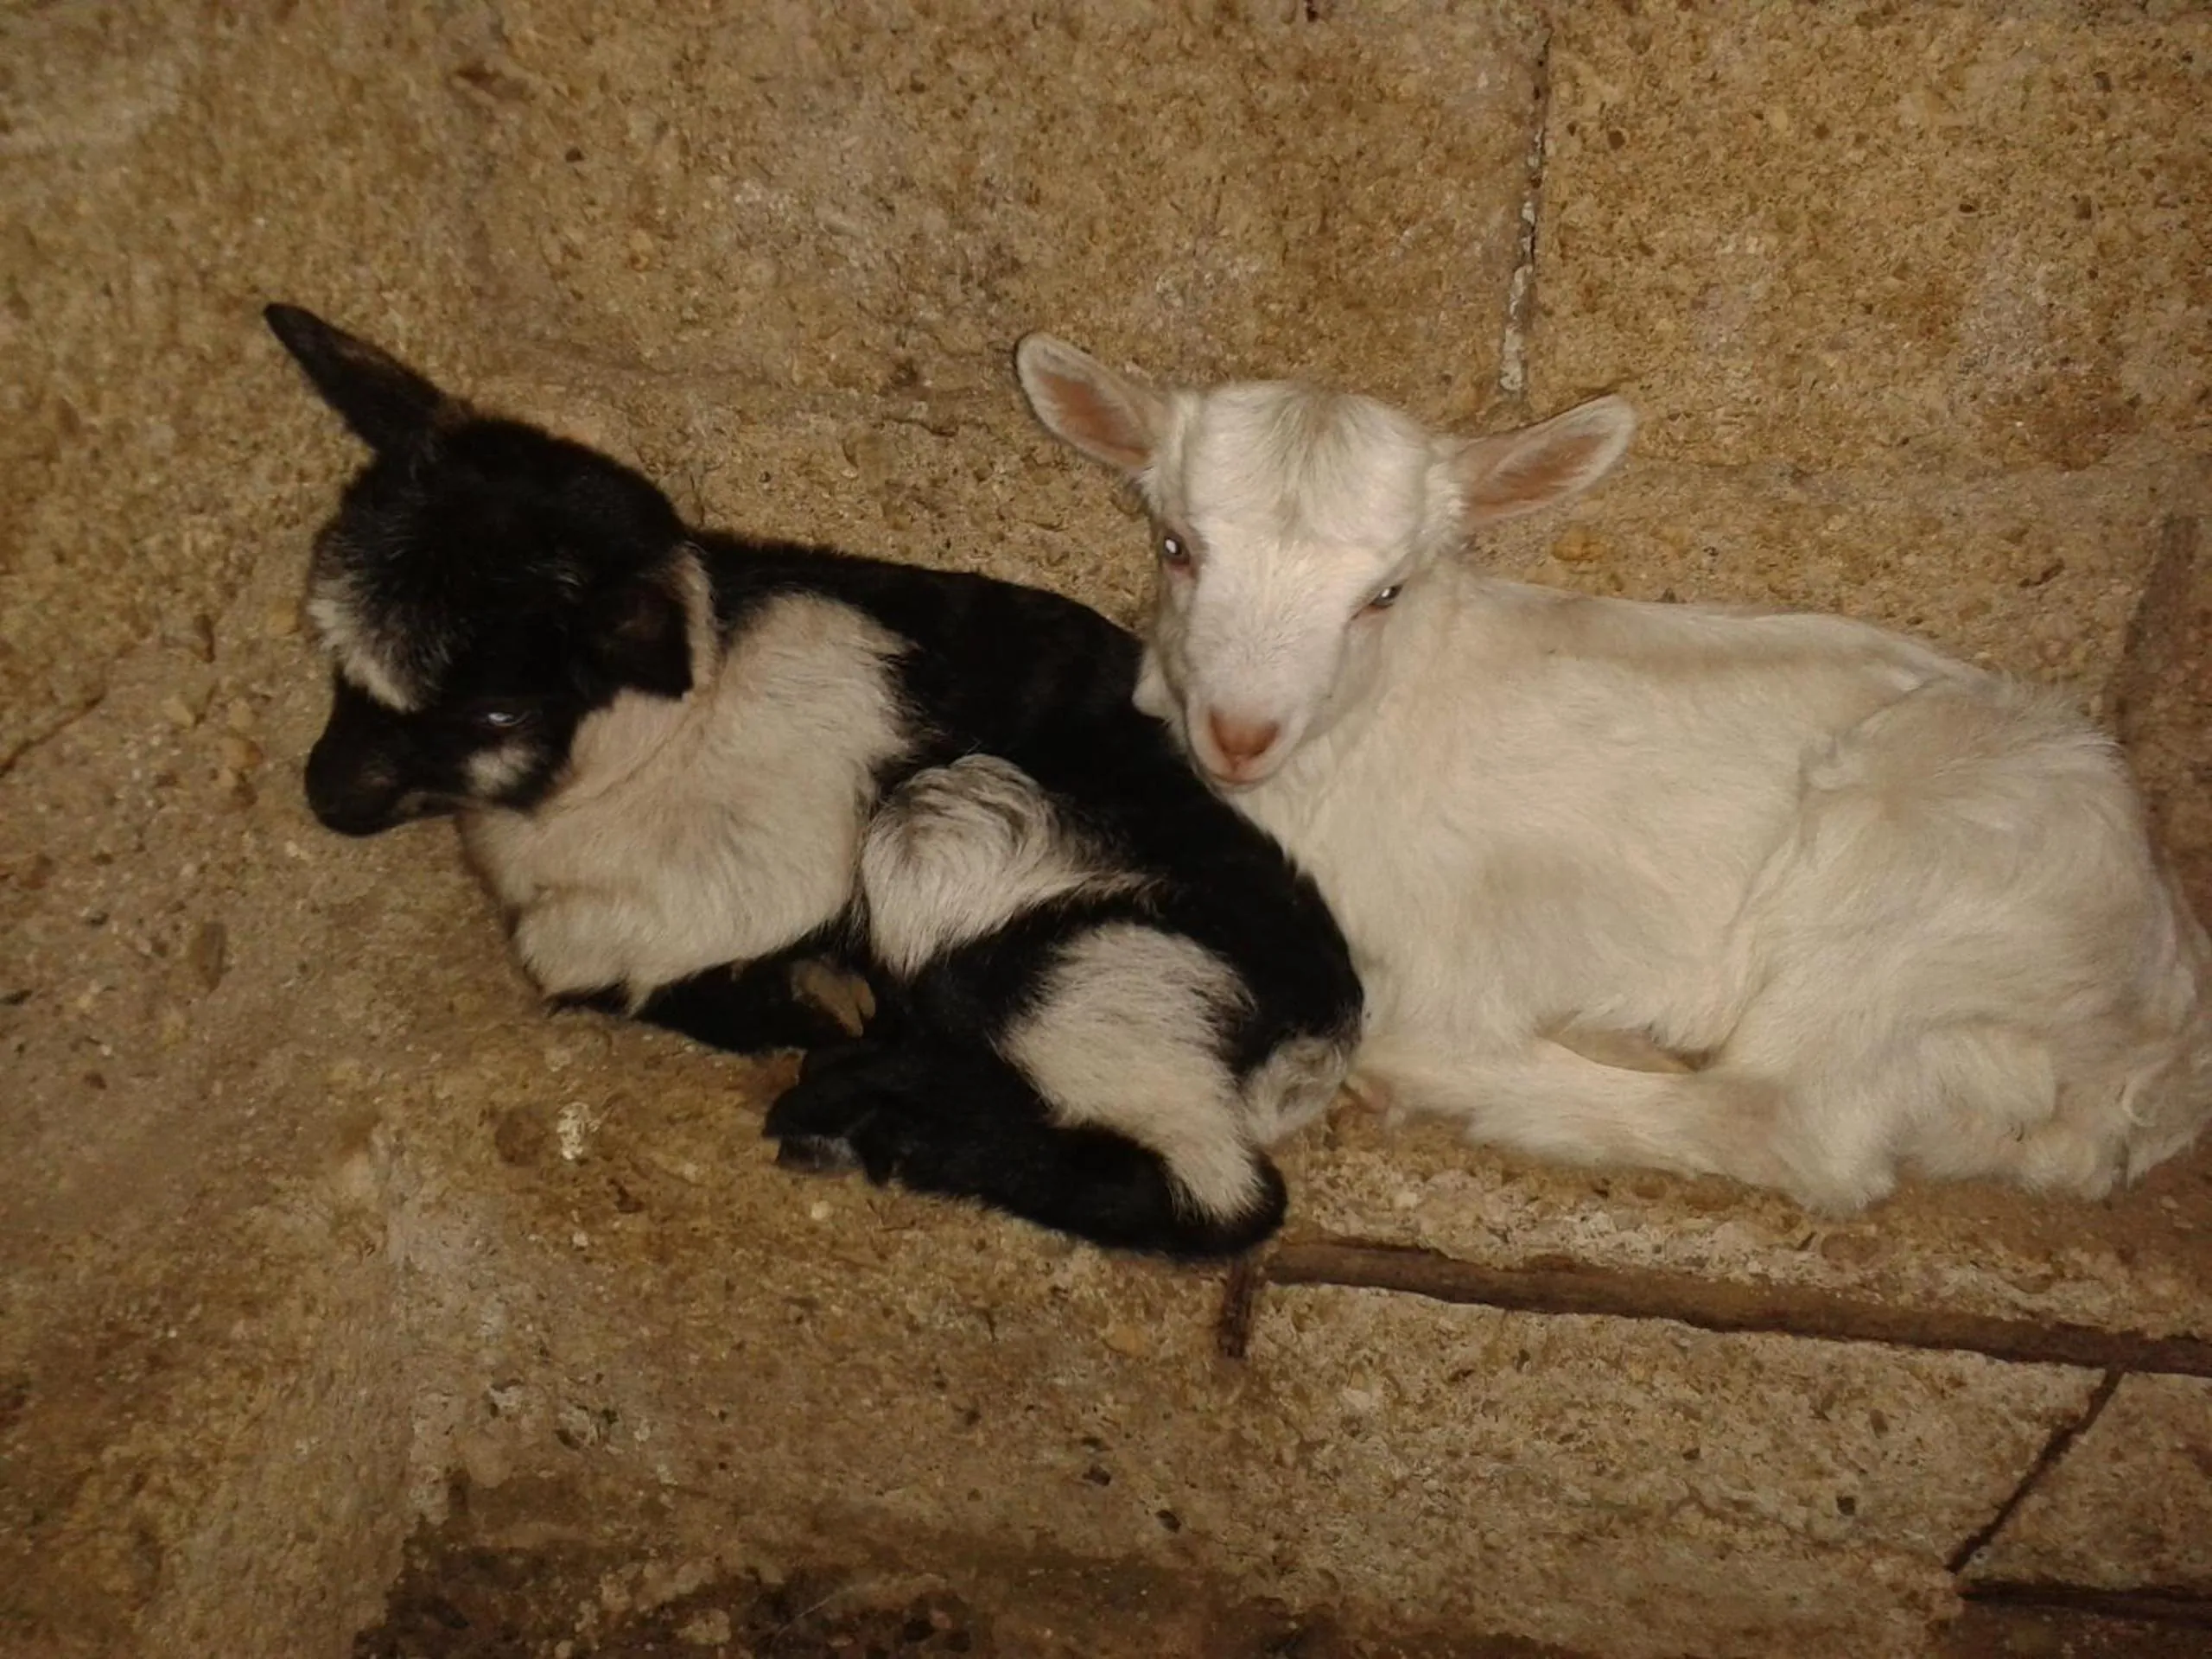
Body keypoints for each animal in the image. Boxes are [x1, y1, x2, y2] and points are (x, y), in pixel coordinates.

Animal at [264, 304, 1362, 1257]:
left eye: (495, 715)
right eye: (336, 655)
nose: (328, 798)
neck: (657, 749)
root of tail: (1319, 1026)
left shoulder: (763, 868)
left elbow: (587, 958)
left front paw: (788, 1002)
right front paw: (795, 1010)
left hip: (1047, 922)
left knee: (1218, 1194)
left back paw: (905, 1128)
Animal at [1016, 332, 2212, 1212]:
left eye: (1383, 593)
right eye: (1177, 547)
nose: (1240, 731)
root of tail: (2159, 1045)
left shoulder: (1453, 935)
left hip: (1914, 871)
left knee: (1784, 1121)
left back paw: (1429, 1072)